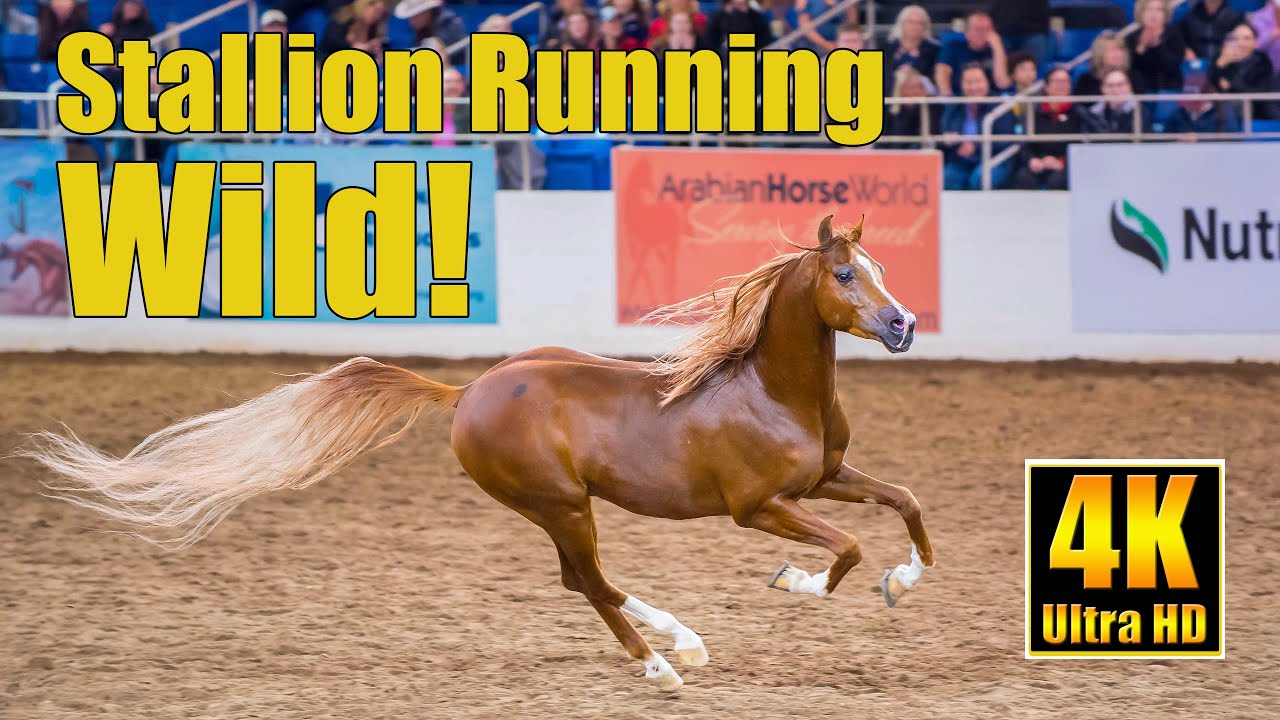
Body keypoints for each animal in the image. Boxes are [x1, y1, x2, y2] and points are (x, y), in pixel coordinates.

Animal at [19, 214, 936, 692]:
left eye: (880, 267)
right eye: (845, 275)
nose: (903, 324)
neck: (770, 391)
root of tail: (467, 394)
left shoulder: (826, 478)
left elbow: (905, 504)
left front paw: (907, 578)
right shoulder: (759, 509)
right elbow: (844, 552)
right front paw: (799, 582)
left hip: (562, 507)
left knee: (583, 583)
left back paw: (679, 647)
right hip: (559, 503)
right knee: (590, 582)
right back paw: (666, 665)